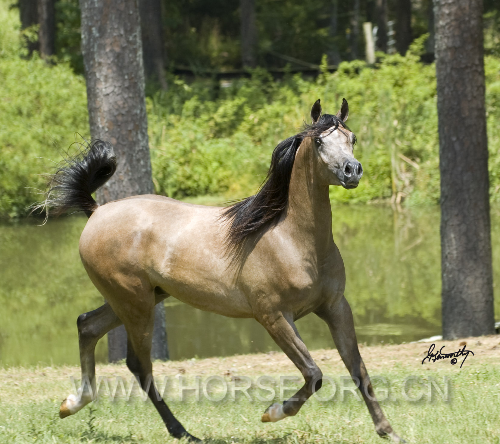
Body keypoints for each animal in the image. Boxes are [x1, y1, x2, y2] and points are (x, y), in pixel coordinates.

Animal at [39, 99, 402, 442]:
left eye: (352, 138)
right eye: (319, 142)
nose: (352, 170)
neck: (292, 239)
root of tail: (96, 212)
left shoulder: (335, 307)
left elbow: (358, 369)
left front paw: (388, 431)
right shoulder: (274, 316)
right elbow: (314, 374)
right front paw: (273, 412)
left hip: (138, 300)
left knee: (87, 325)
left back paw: (71, 404)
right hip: (134, 304)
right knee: (139, 365)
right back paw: (182, 432)